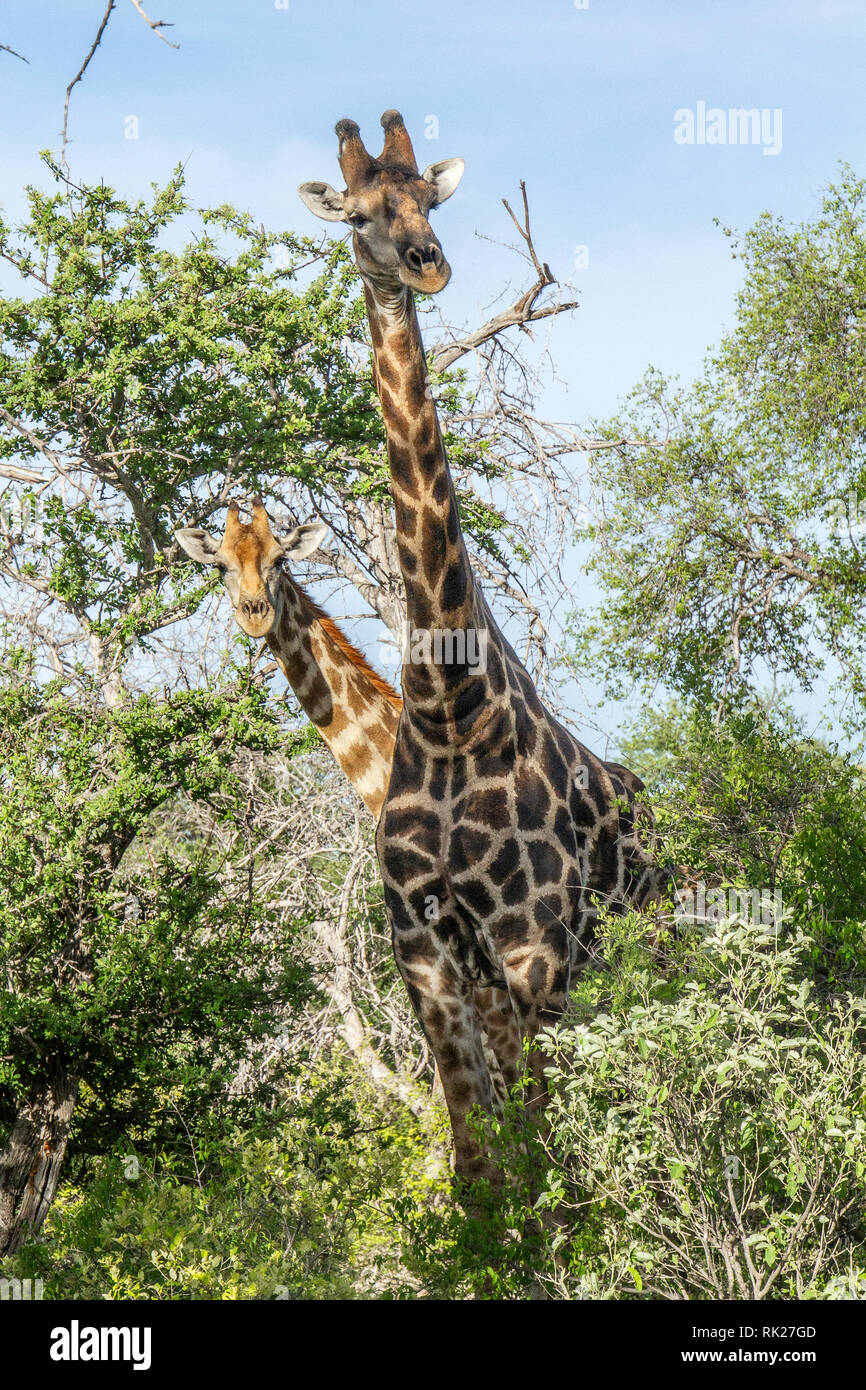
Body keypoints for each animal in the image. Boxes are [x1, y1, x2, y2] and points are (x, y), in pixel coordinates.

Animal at [297, 111, 670, 1184]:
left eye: (429, 198)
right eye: (364, 213)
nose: (428, 264)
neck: (448, 703)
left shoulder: (531, 951)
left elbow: (546, 1168)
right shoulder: (425, 952)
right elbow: (479, 1171)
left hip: (636, 948)